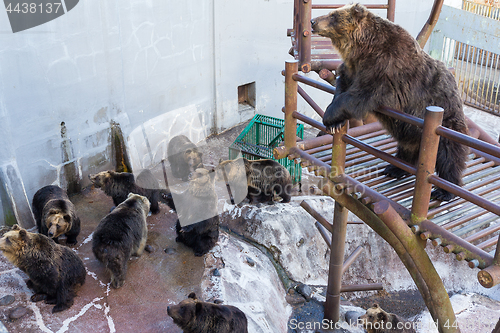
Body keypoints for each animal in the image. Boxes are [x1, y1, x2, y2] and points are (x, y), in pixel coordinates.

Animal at [310, 3, 470, 200]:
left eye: (333, 15)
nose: (313, 21)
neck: (362, 49)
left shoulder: (385, 69)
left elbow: (358, 96)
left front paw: (329, 118)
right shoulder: (353, 67)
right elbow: (342, 85)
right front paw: (334, 121)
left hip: (446, 121)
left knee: (449, 155)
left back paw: (444, 190)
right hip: (412, 132)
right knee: (408, 149)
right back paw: (395, 168)